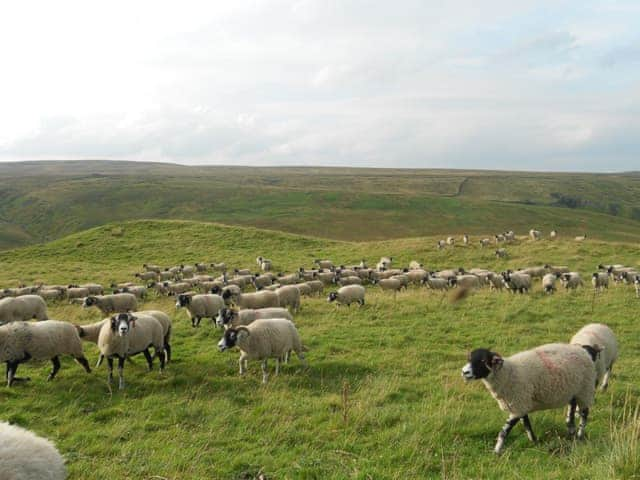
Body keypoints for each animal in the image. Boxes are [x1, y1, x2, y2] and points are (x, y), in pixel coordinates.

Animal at [462, 344, 596, 452]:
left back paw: (579, 435)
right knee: (572, 410)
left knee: (584, 413)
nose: (464, 372)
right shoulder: (521, 404)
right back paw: (571, 431)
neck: (507, 374)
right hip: (574, 392)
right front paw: (534, 441)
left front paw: (497, 451)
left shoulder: (518, 405)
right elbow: (527, 425)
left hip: (585, 389)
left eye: (483, 360)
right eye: (469, 358)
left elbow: (504, 431)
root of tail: (583, 350)